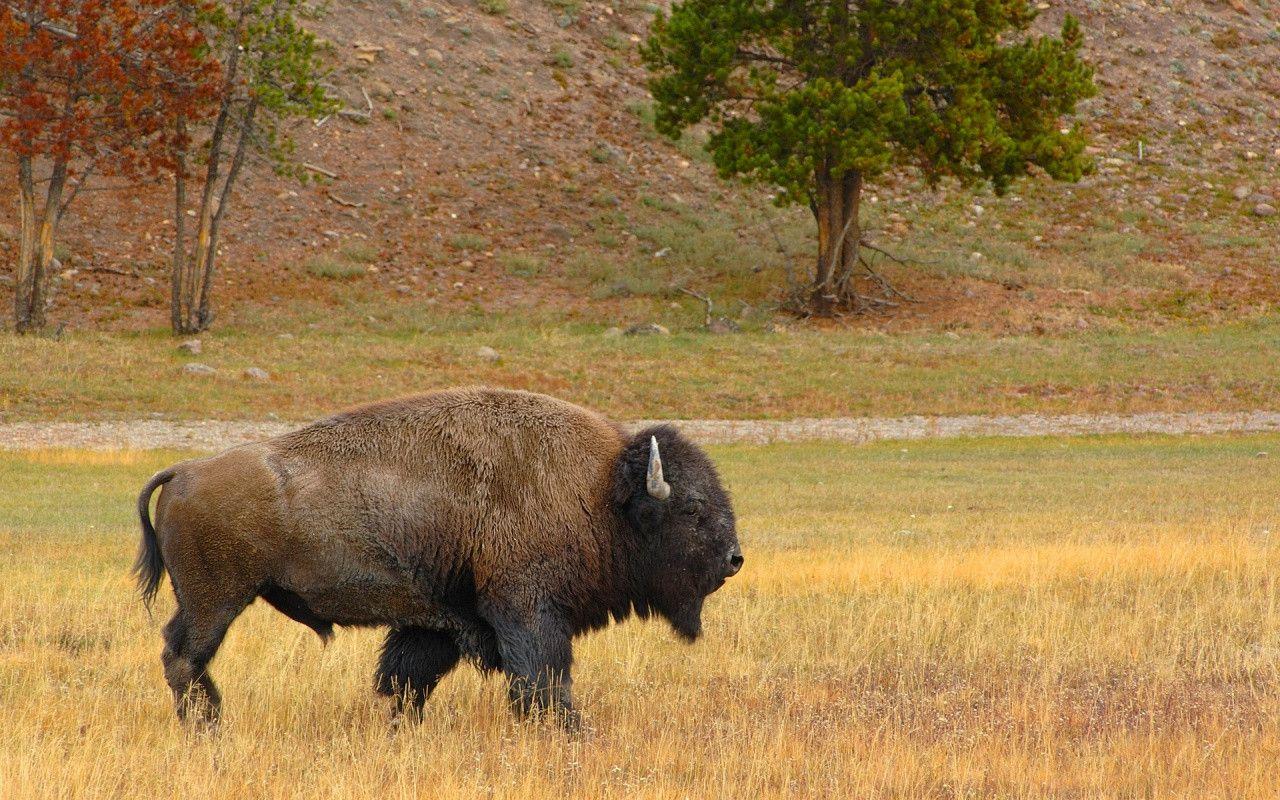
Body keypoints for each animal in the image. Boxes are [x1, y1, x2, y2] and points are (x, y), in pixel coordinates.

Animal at [134, 387, 742, 728]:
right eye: (691, 507)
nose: (735, 559)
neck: (598, 490)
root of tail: (185, 469)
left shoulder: (440, 622)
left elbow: (406, 680)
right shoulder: (528, 611)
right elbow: (543, 681)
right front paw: (573, 733)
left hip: (211, 601)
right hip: (216, 601)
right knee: (183, 656)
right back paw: (209, 726)